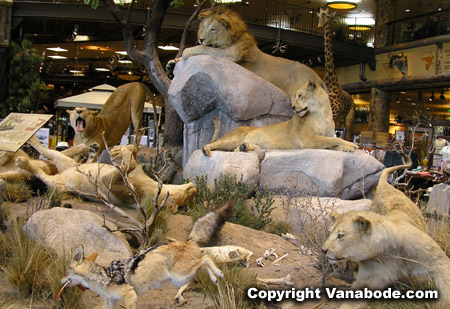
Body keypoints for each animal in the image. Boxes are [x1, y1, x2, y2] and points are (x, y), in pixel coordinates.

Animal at [171, 6, 324, 102]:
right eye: (204, 26)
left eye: (213, 29)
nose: (201, 38)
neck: (232, 36)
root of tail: (317, 77)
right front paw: (172, 63)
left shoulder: (230, 54)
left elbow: (205, 49)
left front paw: (186, 51)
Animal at [202, 80, 356, 155]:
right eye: (295, 96)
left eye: (300, 95)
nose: (293, 107)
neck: (323, 113)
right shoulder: (308, 139)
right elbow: (332, 140)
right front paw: (352, 145)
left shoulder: (323, 136)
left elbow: (333, 141)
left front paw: (347, 148)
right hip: (231, 138)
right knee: (213, 144)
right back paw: (206, 149)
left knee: (236, 149)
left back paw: (244, 147)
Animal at [322, 161, 448, 306]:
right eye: (330, 232)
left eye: (341, 235)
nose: (323, 250)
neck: (385, 252)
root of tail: (387, 186)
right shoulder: (368, 278)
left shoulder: (439, 261)